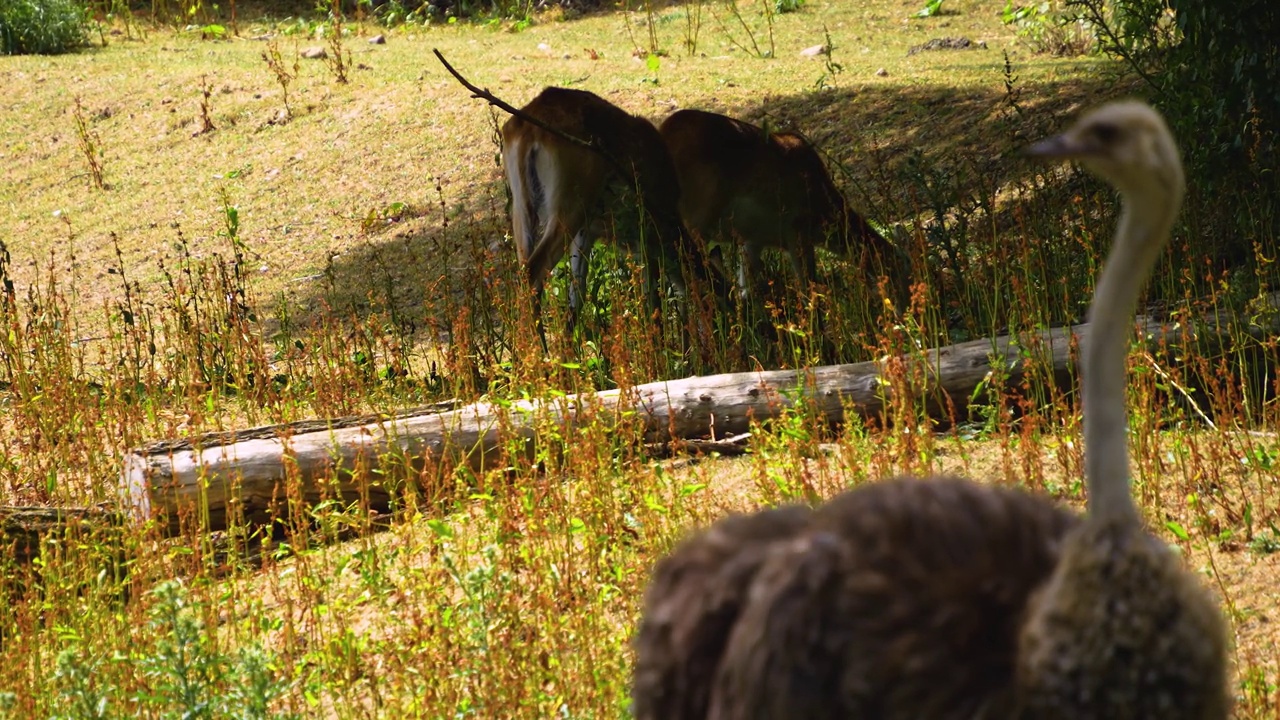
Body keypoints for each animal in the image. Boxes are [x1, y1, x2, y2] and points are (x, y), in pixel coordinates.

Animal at [499, 85, 721, 326]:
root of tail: (529, 128)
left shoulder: (588, 232)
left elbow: (577, 299)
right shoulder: (648, 232)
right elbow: (653, 302)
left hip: (521, 206)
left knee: (524, 275)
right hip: (571, 200)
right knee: (532, 276)